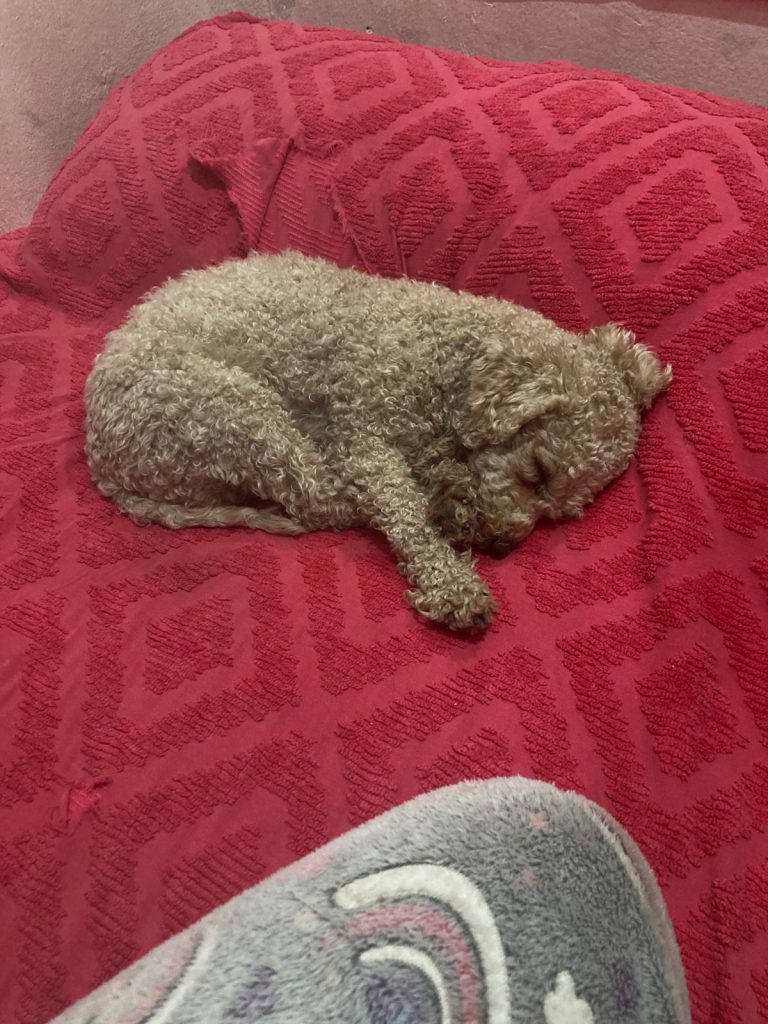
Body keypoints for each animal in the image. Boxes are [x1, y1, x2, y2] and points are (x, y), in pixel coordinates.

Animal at [85, 251, 671, 630]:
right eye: (536, 472)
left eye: (560, 512)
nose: (504, 547)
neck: (442, 354)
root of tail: (99, 459)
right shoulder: (363, 437)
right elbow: (403, 511)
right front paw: (451, 584)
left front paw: (453, 491)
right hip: (227, 408)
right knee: (319, 499)